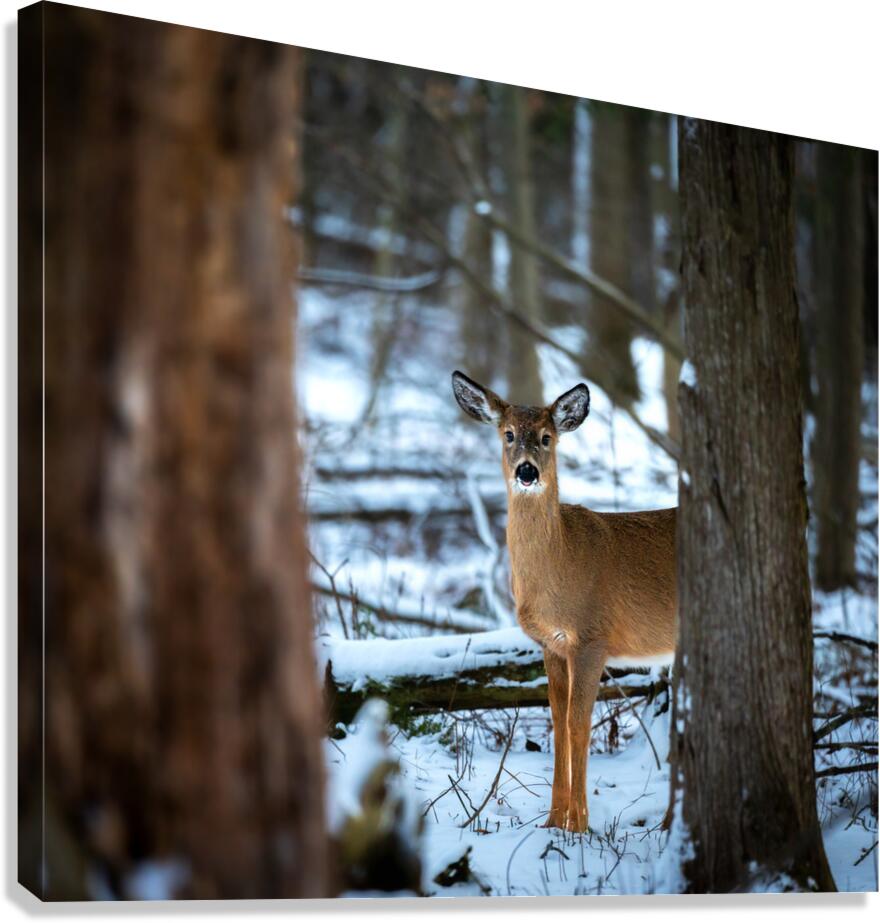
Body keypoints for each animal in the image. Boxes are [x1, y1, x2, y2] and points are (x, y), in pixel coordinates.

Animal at [451, 370, 677, 833]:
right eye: (508, 434)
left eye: (546, 437)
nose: (526, 471)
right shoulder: (551, 644)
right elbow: (556, 720)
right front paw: (553, 821)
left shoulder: (592, 637)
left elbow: (578, 722)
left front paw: (579, 825)